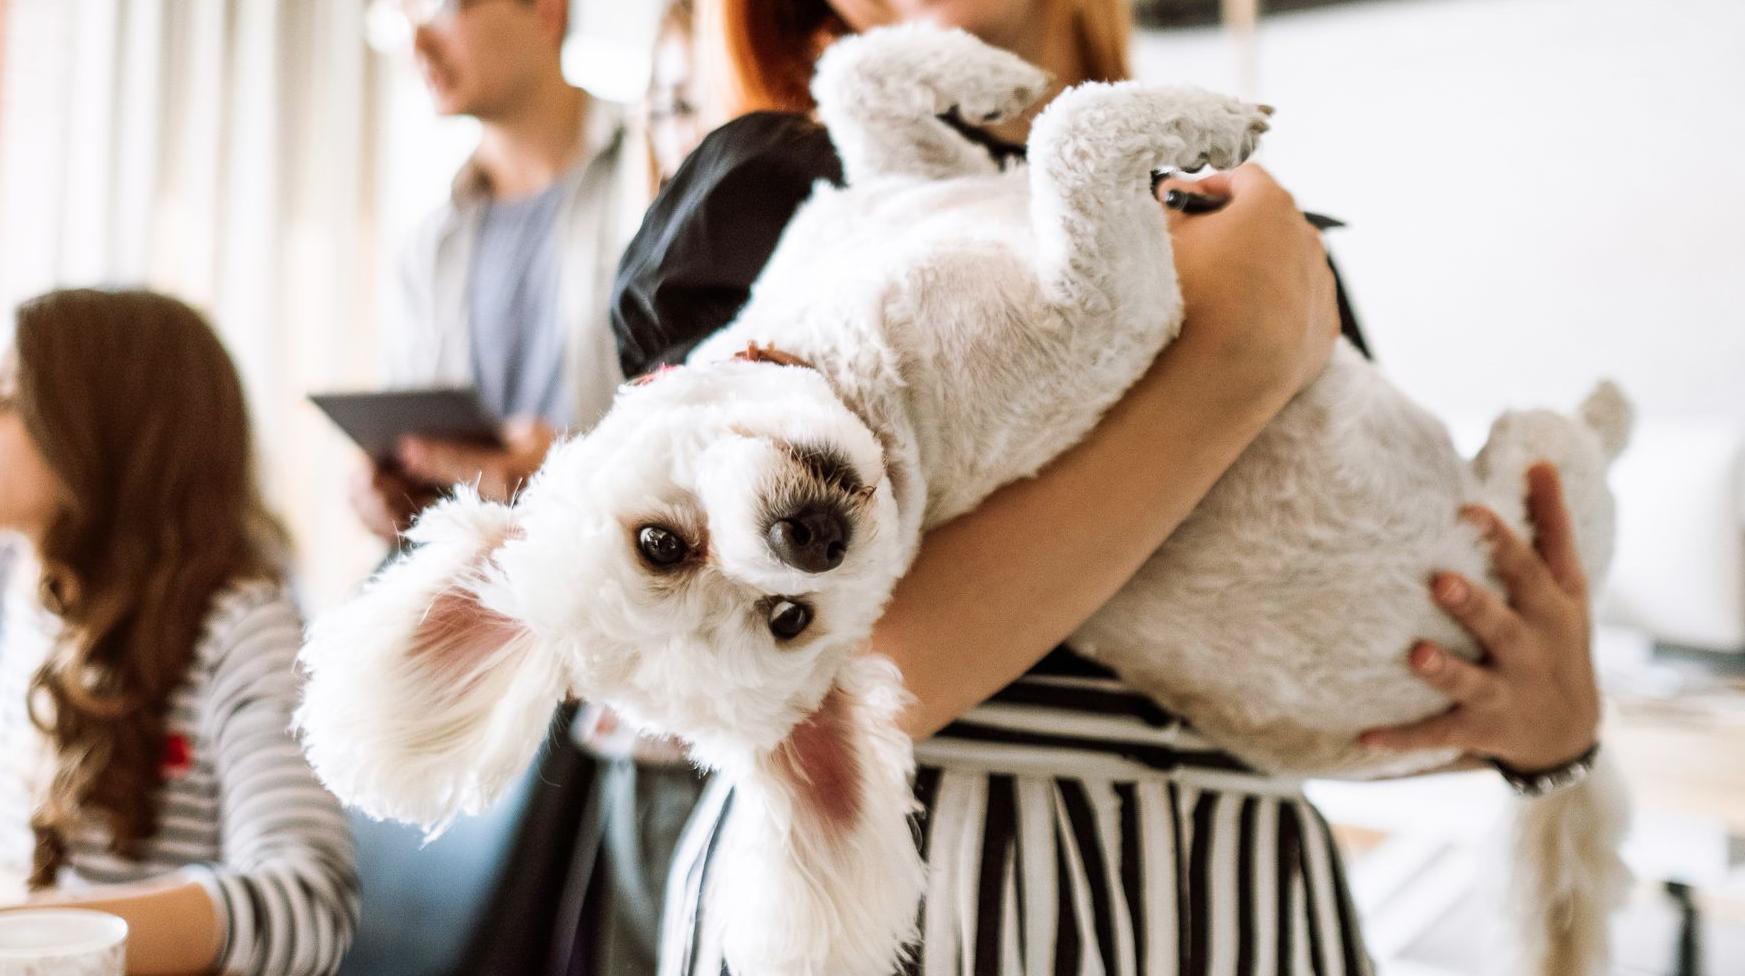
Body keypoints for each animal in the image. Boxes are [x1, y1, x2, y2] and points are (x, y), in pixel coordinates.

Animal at [293, 26, 1626, 976]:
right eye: (791, 623)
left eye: (657, 543)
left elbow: (861, 80)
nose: (810, 538)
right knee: (1574, 462)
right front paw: (1200, 122)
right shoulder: (1119, 311)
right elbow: (1076, 140)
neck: (856, 356)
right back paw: (1607, 404)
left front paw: (992, 75)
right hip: (1535, 484)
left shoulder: (898, 183)